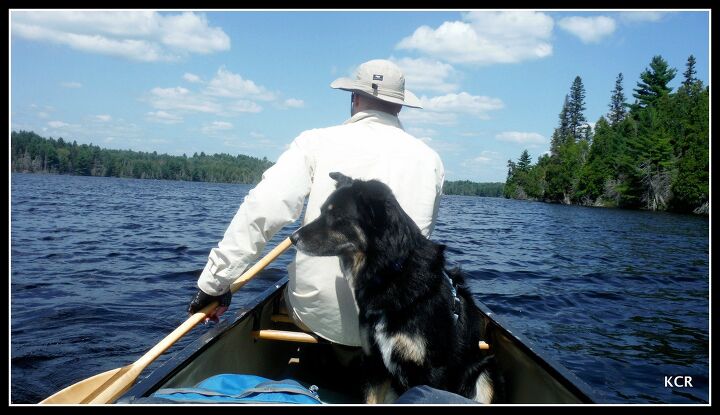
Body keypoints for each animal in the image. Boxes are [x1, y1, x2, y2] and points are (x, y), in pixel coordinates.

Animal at [290, 174, 498, 404]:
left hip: (486, 370)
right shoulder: (373, 362)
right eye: (322, 211)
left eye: (336, 215)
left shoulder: (433, 371)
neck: (391, 272)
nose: (292, 238)